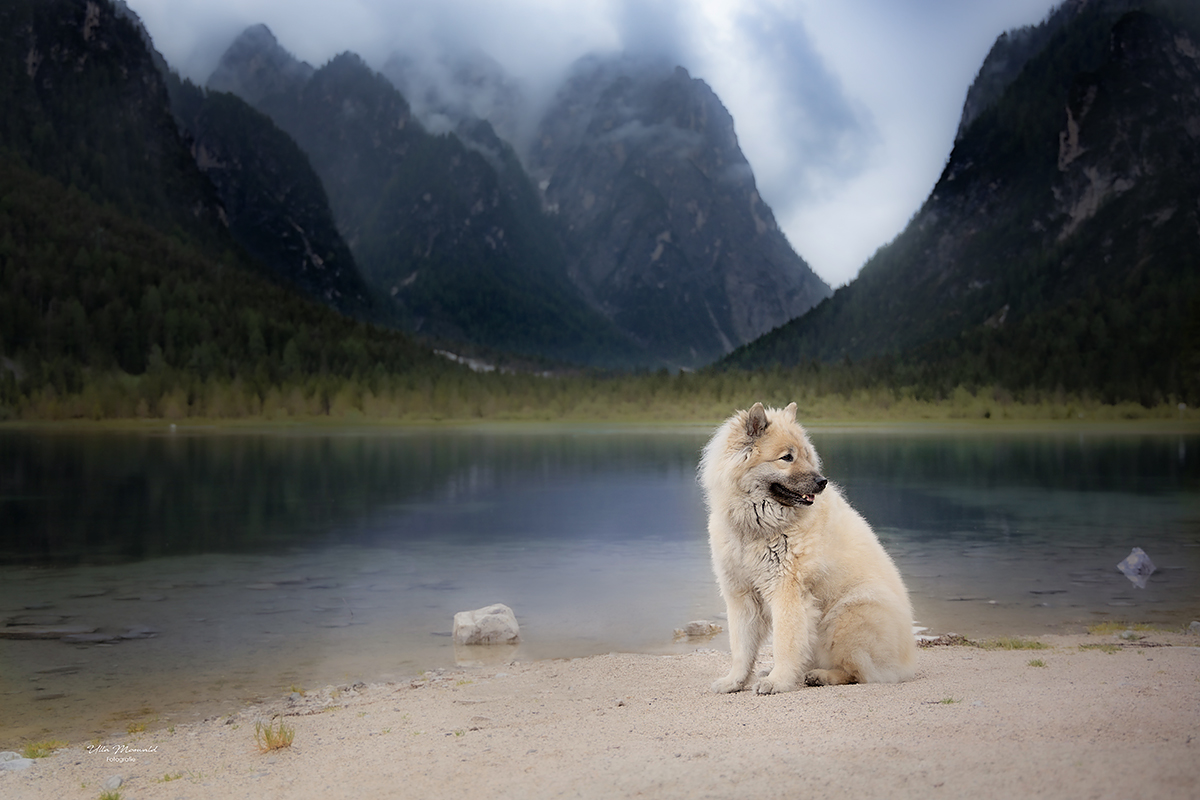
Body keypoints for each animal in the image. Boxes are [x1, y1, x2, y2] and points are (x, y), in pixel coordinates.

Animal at [700, 402, 912, 690]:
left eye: (806, 455)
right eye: (787, 457)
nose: (822, 481)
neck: (759, 525)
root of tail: (906, 665)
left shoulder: (786, 591)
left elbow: (785, 642)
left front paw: (778, 681)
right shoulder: (741, 595)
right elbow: (741, 647)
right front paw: (734, 681)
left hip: (846, 614)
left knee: (858, 672)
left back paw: (821, 675)